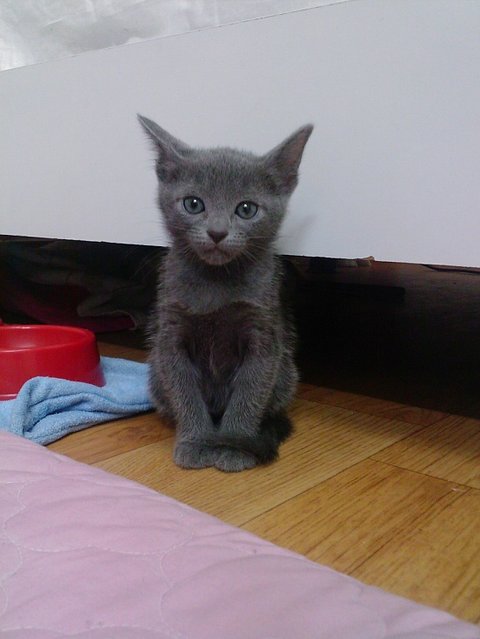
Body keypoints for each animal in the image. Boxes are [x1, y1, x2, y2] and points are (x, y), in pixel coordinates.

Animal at [138, 115, 313, 472]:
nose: (217, 232)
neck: (216, 282)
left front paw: (234, 445)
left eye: (246, 209)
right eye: (193, 204)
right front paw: (195, 441)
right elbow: (185, 392)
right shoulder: (170, 335)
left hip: (286, 373)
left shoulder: (264, 335)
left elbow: (250, 392)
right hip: (155, 375)